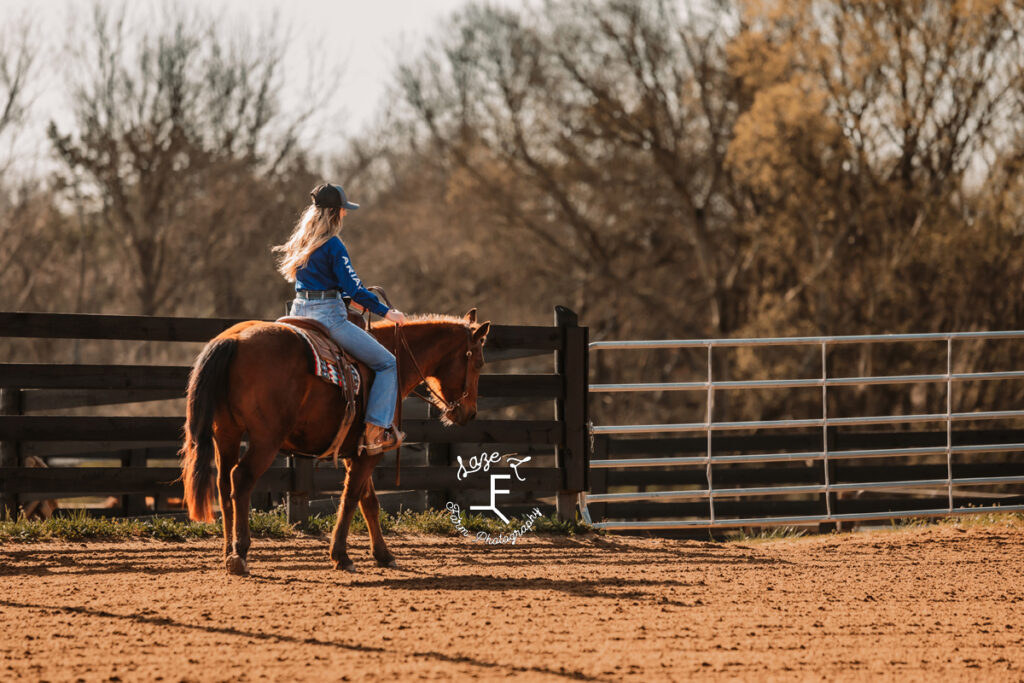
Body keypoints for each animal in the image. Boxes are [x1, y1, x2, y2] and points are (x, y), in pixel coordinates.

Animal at [178, 307, 489, 573]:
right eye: (478, 362)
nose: (470, 413)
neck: (395, 359)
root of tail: (234, 339)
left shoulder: (362, 450)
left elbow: (369, 501)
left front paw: (383, 554)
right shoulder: (371, 452)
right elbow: (351, 498)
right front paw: (341, 556)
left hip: (226, 434)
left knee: (223, 484)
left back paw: (227, 552)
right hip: (265, 440)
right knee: (241, 479)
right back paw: (240, 554)